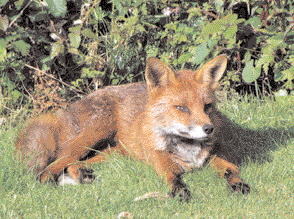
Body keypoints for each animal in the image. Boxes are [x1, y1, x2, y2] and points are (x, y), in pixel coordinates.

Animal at [14, 54, 250, 200]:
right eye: (181, 108)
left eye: (207, 106)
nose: (208, 129)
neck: (187, 149)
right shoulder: (161, 161)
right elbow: (173, 178)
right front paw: (180, 193)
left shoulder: (213, 157)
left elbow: (231, 169)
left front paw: (239, 186)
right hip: (93, 136)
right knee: (54, 165)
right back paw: (52, 181)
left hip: (114, 154)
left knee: (74, 163)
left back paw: (81, 175)